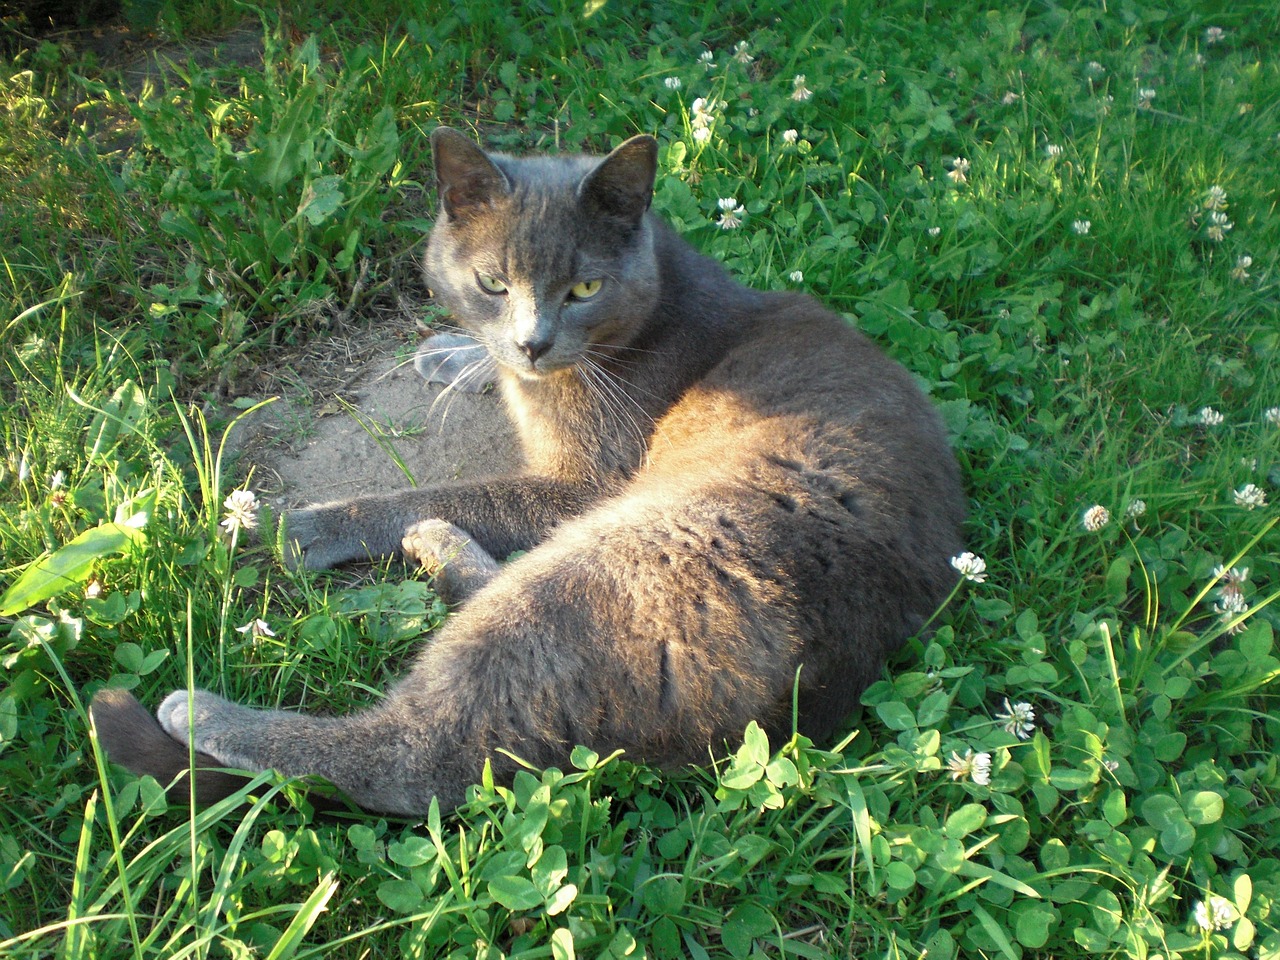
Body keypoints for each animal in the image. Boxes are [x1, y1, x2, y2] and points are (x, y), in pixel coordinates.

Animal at [87, 126, 962, 819]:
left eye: (585, 287)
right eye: (492, 283)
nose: (533, 342)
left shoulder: (584, 483)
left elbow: (445, 489)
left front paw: (291, 523)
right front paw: (453, 353)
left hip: (618, 552)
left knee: (412, 757)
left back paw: (201, 710)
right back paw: (434, 544)